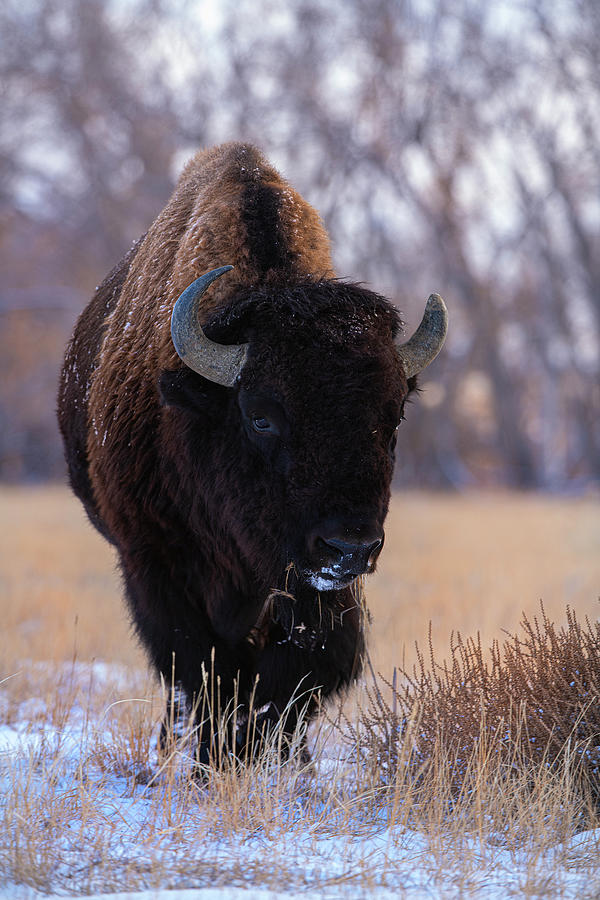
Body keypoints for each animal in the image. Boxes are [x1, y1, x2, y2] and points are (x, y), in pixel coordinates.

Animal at [59, 144, 446, 764]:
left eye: (392, 420)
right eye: (261, 416)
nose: (350, 548)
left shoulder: (311, 590)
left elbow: (302, 671)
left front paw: (271, 755)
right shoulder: (155, 563)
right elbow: (199, 669)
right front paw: (211, 761)